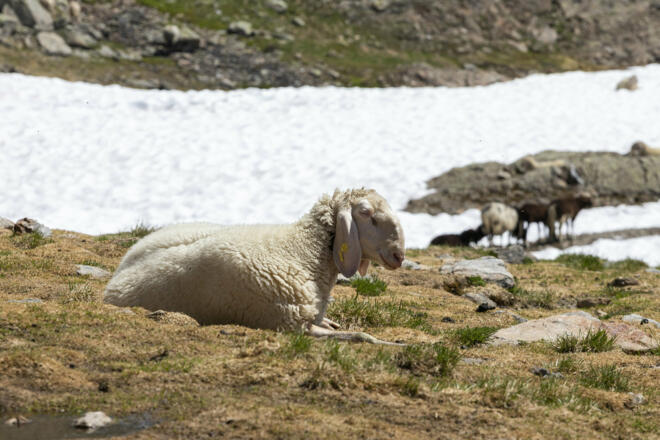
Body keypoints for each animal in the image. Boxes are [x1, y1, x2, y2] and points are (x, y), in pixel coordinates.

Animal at [104, 188, 406, 345]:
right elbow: (362, 336)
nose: (399, 255)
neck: (302, 250)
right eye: (366, 213)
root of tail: (116, 277)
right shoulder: (291, 324)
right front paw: (394, 343)